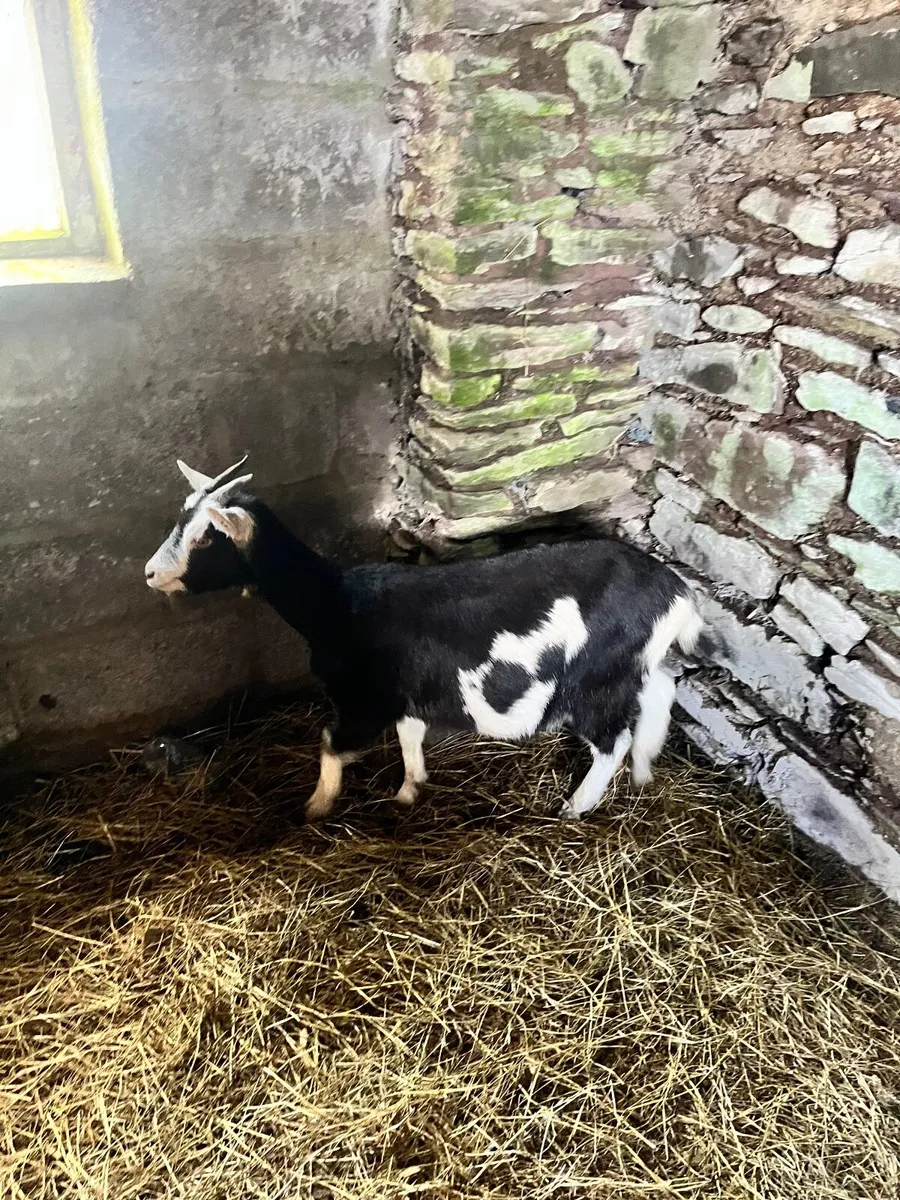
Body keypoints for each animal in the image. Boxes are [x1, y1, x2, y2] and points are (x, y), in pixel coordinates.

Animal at [145, 457, 702, 821]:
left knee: (612, 740)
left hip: (596, 679)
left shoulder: (364, 699)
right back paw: (644, 770)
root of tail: (675, 593)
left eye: (205, 537)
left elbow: (330, 744)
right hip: (637, 666)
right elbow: (409, 734)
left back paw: (576, 806)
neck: (335, 604)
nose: (150, 573)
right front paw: (409, 791)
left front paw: (315, 808)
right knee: (658, 697)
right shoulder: (403, 693)